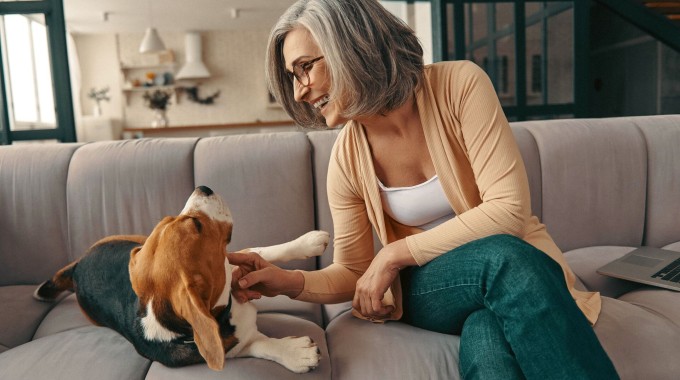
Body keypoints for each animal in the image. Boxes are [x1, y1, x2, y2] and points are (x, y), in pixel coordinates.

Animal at [34, 186, 326, 372]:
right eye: (196, 225)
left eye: (171, 218)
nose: (203, 187)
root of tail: (78, 265)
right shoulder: (229, 347)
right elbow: (258, 345)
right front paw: (296, 353)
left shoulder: (231, 262)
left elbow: (259, 251)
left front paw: (307, 242)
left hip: (134, 242)